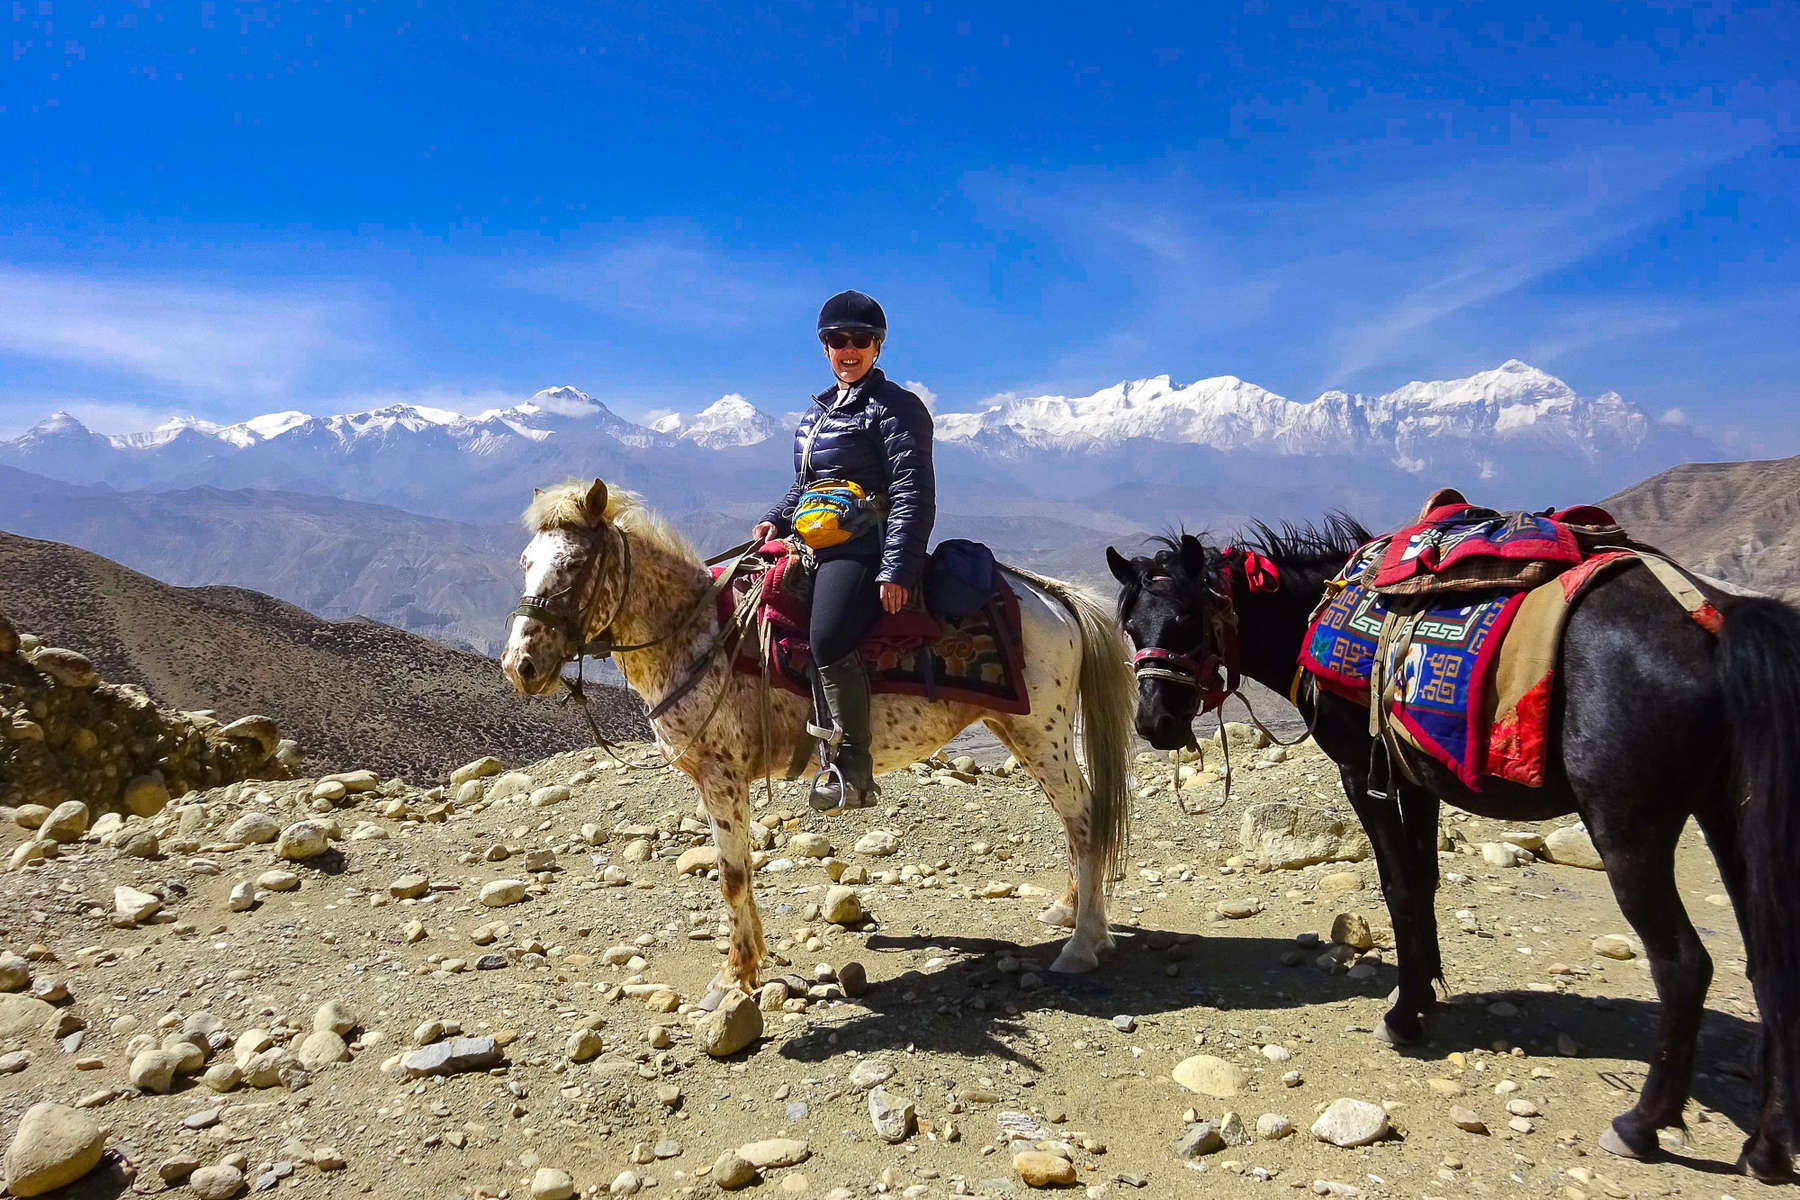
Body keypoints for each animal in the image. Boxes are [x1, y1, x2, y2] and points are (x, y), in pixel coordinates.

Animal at [500, 482, 1130, 1007]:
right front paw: (754, 964)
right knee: (1074, 819)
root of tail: (1052, 596)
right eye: (525, 562)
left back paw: (1083, 945)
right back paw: (1069, 910)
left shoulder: (723, 777)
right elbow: (740, 875)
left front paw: (731, 978)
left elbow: (732, 876)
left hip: (1042, 735)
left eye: (574, 565)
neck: (698, 635)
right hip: (1021, 732)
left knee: (1084, 815)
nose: (520, 665)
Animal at [1116, 507, 1800, 1180]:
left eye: (1184, 621)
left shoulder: (1366, 776)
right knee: (1768, 964)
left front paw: (1403, 1016)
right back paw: (1765, 1149)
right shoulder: (1415, 781)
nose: (1154, 723)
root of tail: (1715, 624)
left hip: (1629, 824)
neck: (1312, 611)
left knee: (1684, 963)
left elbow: (1397, 884)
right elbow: (1422, 883)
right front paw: (1421, 996)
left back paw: (1642, 1124)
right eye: (1129, 625)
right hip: (1727, 817)